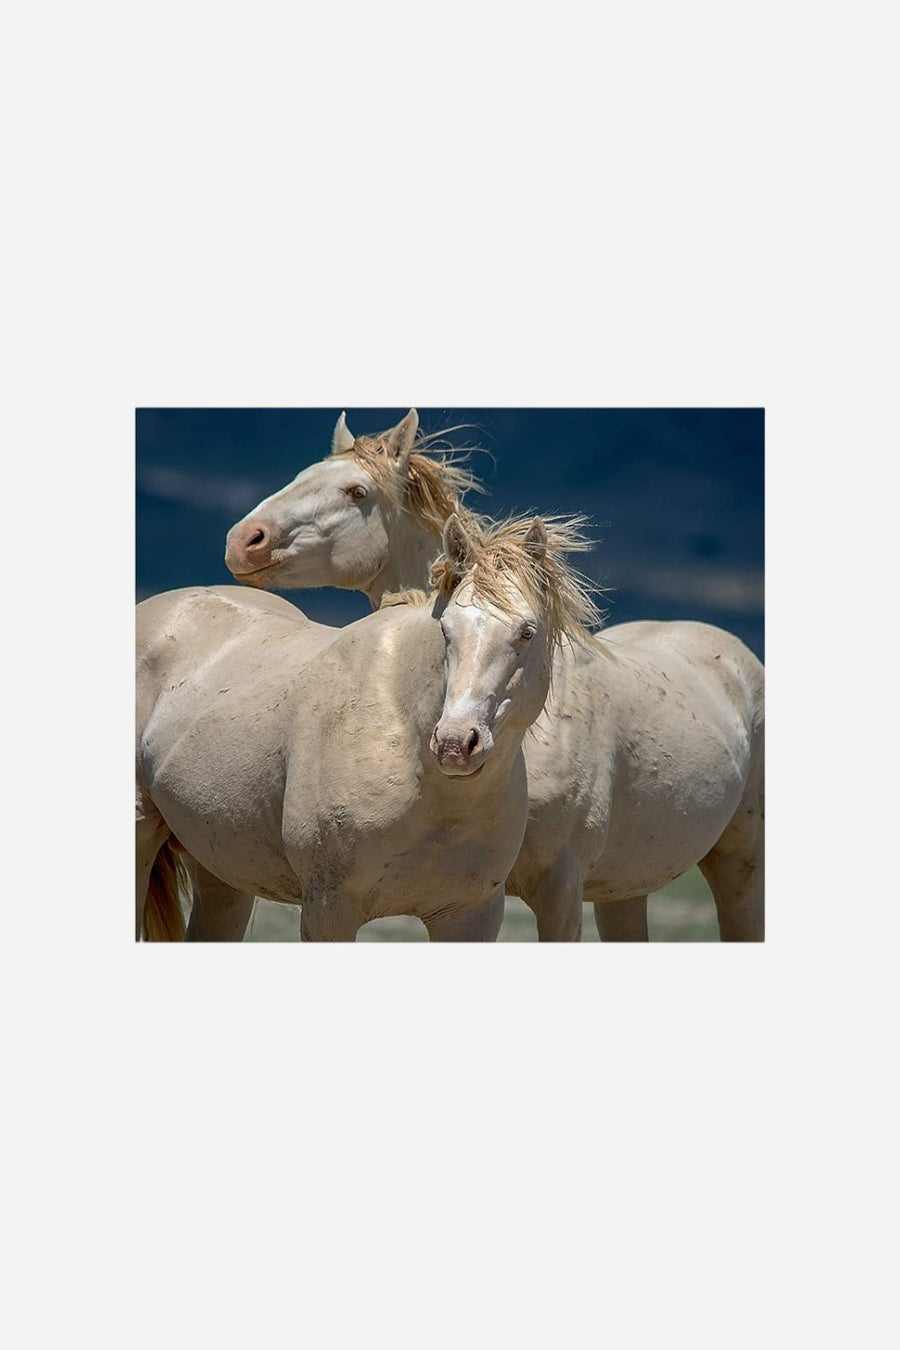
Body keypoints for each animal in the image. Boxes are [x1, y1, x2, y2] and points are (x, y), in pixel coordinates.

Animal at [136, 513, 601, 941]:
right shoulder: (329, 909)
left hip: (221, 872)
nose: (455, 743)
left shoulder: (471, 915)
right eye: (446, 629)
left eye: (527, 632)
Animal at [223, 410, 765, 942]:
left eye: (356, 491)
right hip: (625, 890)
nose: (242, 542)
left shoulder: (559, 889)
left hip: (741, 862)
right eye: (302, 474)